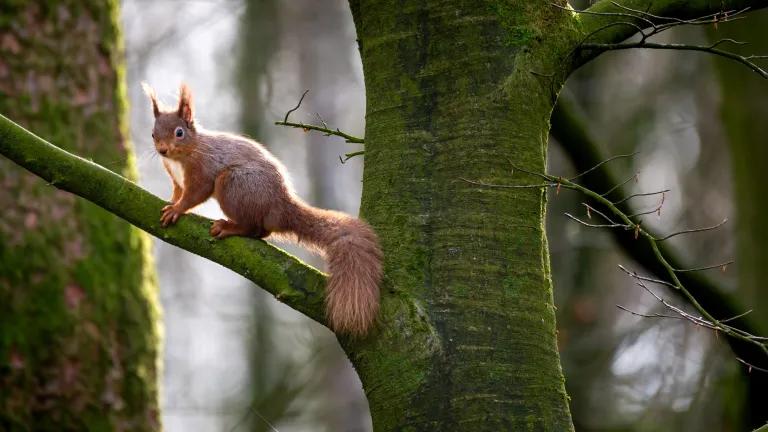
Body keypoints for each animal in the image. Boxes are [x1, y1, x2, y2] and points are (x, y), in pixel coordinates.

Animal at [141, 83, 382, 336]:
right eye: (153, 133)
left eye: (179, 132)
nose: (162, 150)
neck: (185, 153)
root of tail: (281, 206)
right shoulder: (176, 179)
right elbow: (178, 191)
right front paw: (170, 202)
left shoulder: (203, 170)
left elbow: (195, 194)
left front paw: (177, 209)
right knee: (262, 232)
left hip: (233, 184)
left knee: (253, 227)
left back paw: (230, 227)